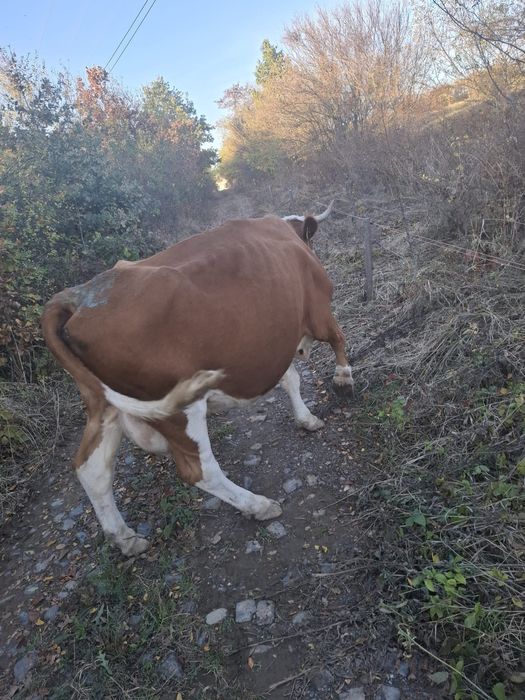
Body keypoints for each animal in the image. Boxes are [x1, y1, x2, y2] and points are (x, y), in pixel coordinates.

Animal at [41, 202, 353, 556]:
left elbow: (291, 378)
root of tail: (76, 297)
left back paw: (126, 539)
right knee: (199, 470)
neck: (288, 234)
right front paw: (343, 380)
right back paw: (258, 505)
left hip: (104, 405)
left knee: (91, 470)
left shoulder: (271, 342)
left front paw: (306, 418)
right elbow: (337, 339)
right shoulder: (317, 310)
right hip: (178, 409)